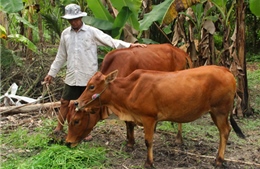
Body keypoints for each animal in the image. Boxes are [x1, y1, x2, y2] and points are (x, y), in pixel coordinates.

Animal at [66, 65, 245, 167]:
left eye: (92, 86)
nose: (77, 103)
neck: (129, 89)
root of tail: (227, 71)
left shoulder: (149, 118)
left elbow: (148, 141)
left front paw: (148, 162)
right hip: (215, 112)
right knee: (224, 132)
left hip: (220, 111)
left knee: (225, 131)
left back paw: (219, 160)